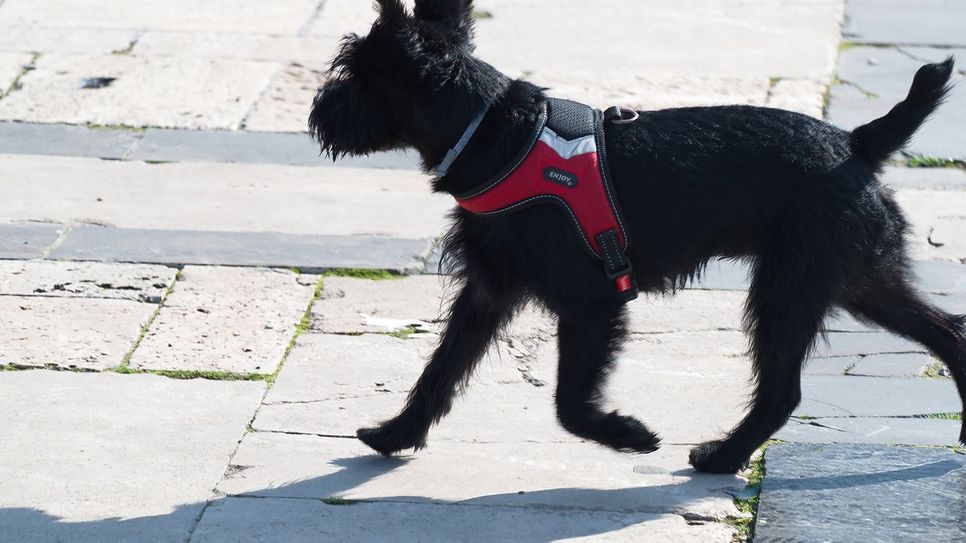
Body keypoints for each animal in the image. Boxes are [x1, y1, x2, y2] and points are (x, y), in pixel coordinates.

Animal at [312, 0, 966, 474]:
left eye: (352, 75)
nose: (319, 109)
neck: (496, 133)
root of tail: (857, 142)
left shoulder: (591, 303)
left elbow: (569, 403)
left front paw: (626, 434)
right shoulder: (488, 291)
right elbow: (441, 368)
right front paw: (396, 433)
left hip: (788, 290)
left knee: (783, 390)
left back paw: (721, 457)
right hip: (859, 280)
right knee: (947, 333)